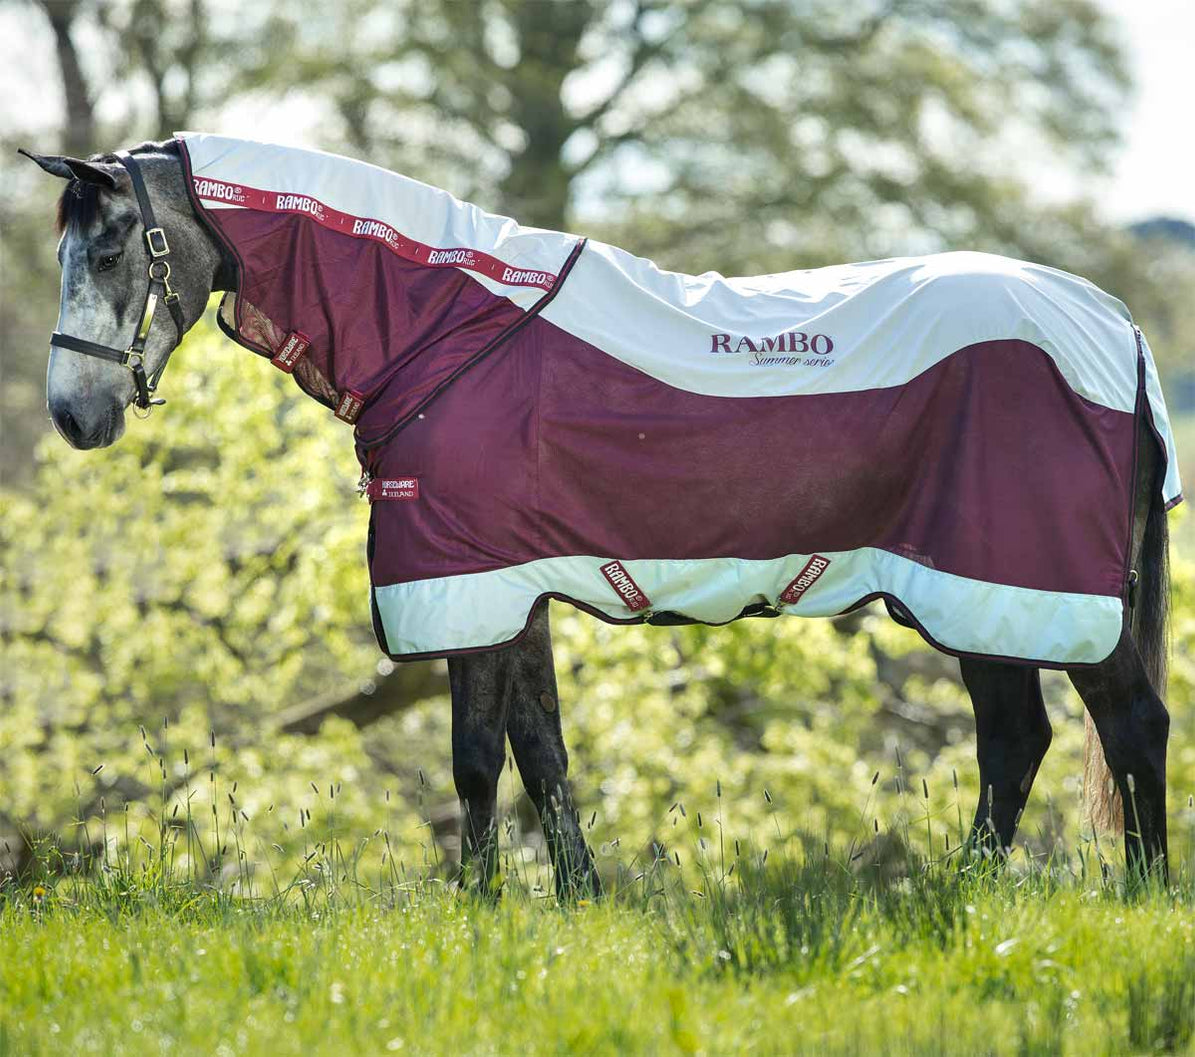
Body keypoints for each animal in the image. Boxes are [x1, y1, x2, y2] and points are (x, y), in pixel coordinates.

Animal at [21, 136, 1177, 889]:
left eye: (115, 247)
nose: (74, 415)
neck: (447, 329)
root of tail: (1114, 323)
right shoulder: (511, 587)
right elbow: (541, 753)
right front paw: (572, 899)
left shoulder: (465, 584)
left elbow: (474, 759)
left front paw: (479, 908)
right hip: (980, 594)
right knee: (1017, 739)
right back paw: (967, 888)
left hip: (1031, 585)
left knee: (1128, 722)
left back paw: (1139, 892)